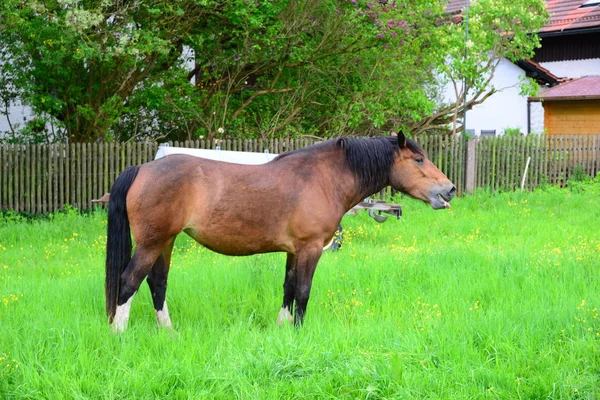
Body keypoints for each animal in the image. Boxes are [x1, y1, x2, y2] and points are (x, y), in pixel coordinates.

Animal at [106, 133, 454, 332]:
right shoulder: (310, 249)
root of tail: (143, 168)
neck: (323, 178)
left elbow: (287, 289)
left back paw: (169, 332)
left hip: (165, 242)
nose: (449, 189)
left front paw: (282, 329)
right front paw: (298, 333)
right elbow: (303, 291)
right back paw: (119, 334)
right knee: (129, 281)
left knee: (157, 283)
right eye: (419, 159)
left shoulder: (293, 251)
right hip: (152, 243)